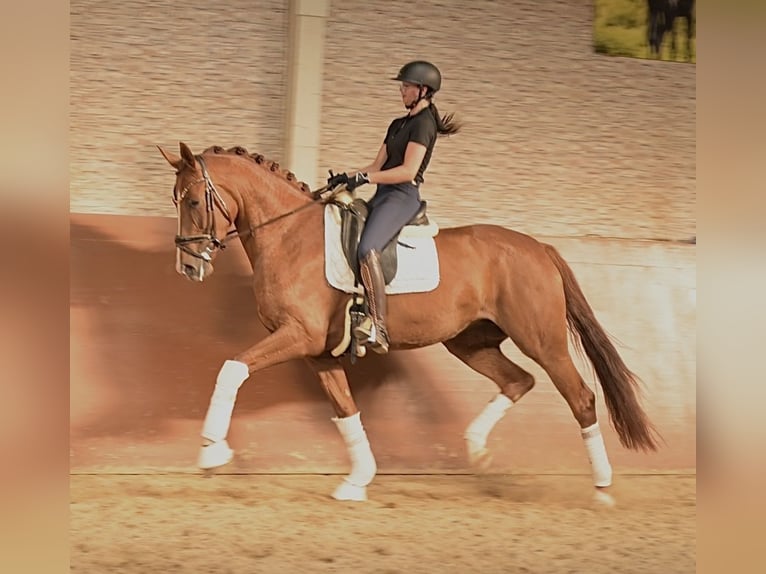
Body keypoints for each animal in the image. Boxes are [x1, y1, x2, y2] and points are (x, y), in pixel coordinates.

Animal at [158, 142, 660, 503]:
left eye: (194, 200)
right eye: (176, 199)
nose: (187, 267)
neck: (290, 236)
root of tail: (539, 248)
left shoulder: (297, 336)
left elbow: (232, 368)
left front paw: (211, 450)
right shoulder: (318, 352)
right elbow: (345, 410)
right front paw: (358, 481)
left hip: (543, 340)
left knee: (580, 397)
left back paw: (601, 488)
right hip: (470, 342)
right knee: (518, 381)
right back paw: (477, 449)